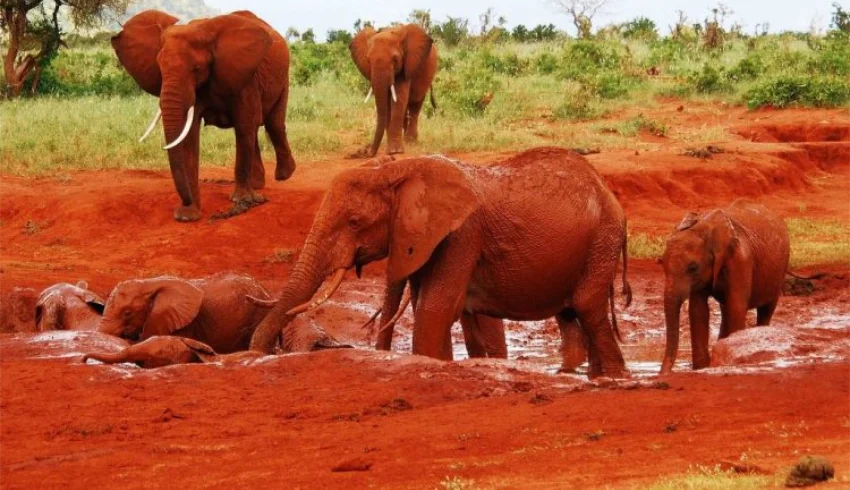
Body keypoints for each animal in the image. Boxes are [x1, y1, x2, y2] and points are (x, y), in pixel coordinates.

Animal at [112, 10, 296, 222]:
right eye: (159, 68)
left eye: (197, 69)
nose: (185, 201)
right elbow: (189, 136)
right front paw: (187, 216)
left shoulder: (245, 78)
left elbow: (244, 124)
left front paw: (241, 200)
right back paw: (257, 185)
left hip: (283, 78)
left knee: (272, 124)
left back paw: (283, 175)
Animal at [250, 147, 631, 378]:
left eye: (355, 222)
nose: (257, 354)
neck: (399, 169)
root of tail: (607, 191)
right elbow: (439, 307)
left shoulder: (462, 233)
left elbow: (435, 308)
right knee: (570, 313)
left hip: (603, 238)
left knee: (587, 306)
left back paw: (615, 377)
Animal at [350, 24, 438, 157]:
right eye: (368, 60)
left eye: (395, 59)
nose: (367, 151)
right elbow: (387, 103)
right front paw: (392, 148)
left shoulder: (406, 64)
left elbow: (399, 98)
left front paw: (395, 151)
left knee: (415, 105)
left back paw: (410, 142)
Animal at [659, 199, 791, 374]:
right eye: (661, 263)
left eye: (693, 268)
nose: (663, 374)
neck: (706, 227)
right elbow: (698, 311)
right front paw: (702, 368)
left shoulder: (740, 260)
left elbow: (736, 307)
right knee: (725, 310)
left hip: (780, 271)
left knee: (765, 309)